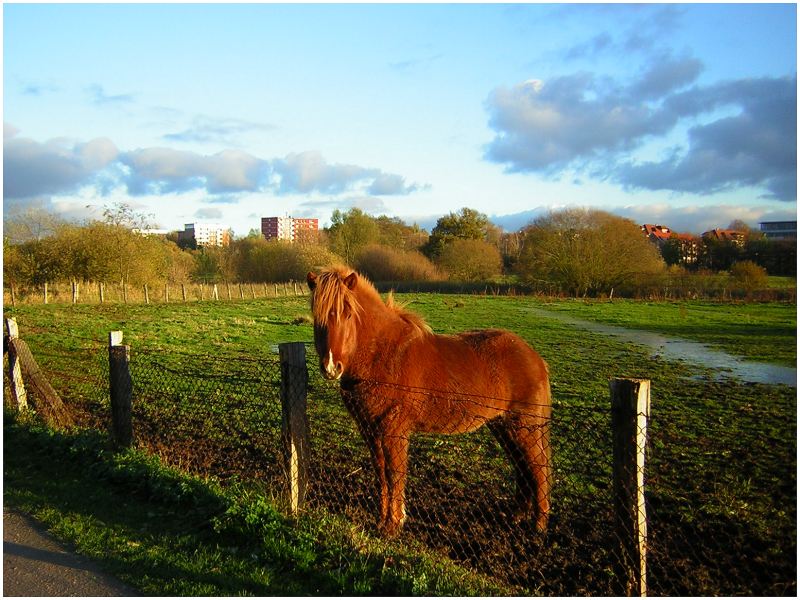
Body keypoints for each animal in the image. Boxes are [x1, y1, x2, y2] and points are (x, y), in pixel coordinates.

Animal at [306, 268, 552, 540]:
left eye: (348, 313)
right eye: (317, 315)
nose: (331, 367)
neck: (382, 355)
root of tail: (535, 358)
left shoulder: (394, 431)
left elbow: (395, 473)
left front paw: (394, 524)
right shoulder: (370, 430)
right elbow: (380, 473)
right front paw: (382, 521)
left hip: (525, 428)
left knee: (538, 468)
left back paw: (539, 526)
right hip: (503, 426)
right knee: (522, 468)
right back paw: (517, 516)